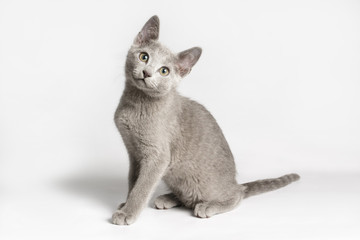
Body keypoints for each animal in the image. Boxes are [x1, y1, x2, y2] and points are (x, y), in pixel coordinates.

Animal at [112, 15, 298, 225]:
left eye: (164, 71)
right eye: (144, 57)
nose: (147, 73)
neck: (137, 103)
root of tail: (235, 182)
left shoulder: (157, 156)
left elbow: (142, 187)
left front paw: (127, 212)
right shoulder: (134, 153)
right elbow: (133, 181)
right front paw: (125, 204)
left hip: (206, 185)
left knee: (237, 195)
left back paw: (208, 206)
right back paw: (169, 198)